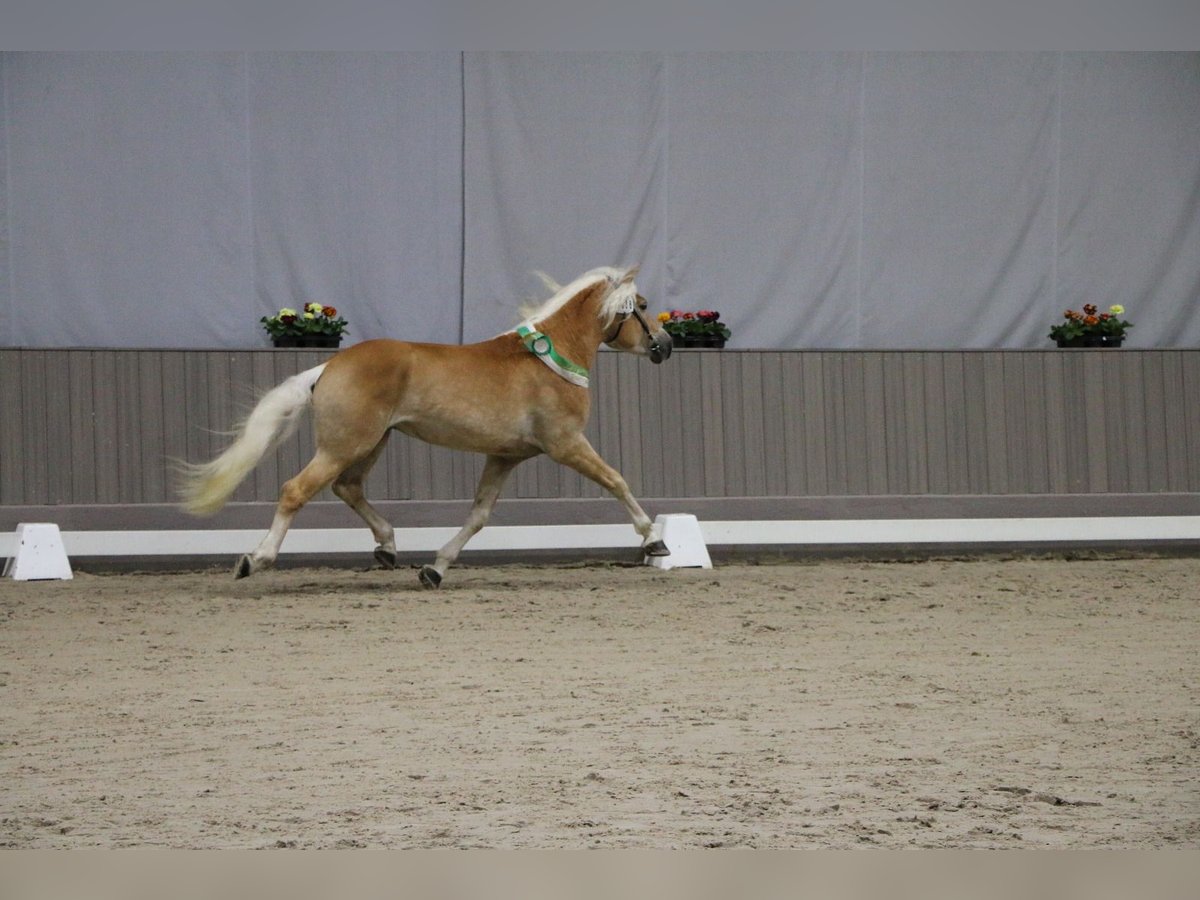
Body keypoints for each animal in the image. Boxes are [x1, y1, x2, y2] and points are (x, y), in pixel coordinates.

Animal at [175, 266, 676, 592]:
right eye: (642, 307)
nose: (666, 345)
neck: (550, 359)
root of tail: (330, 365)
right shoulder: (566, 444)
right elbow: (616, 481)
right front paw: (655, 541)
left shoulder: (505, 456)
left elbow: (478, 516)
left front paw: (435, 569)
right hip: (345, 444)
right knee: (296, 490)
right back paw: (255, 560)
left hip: (370, 444)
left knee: (348, 488)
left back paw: (388, 547)